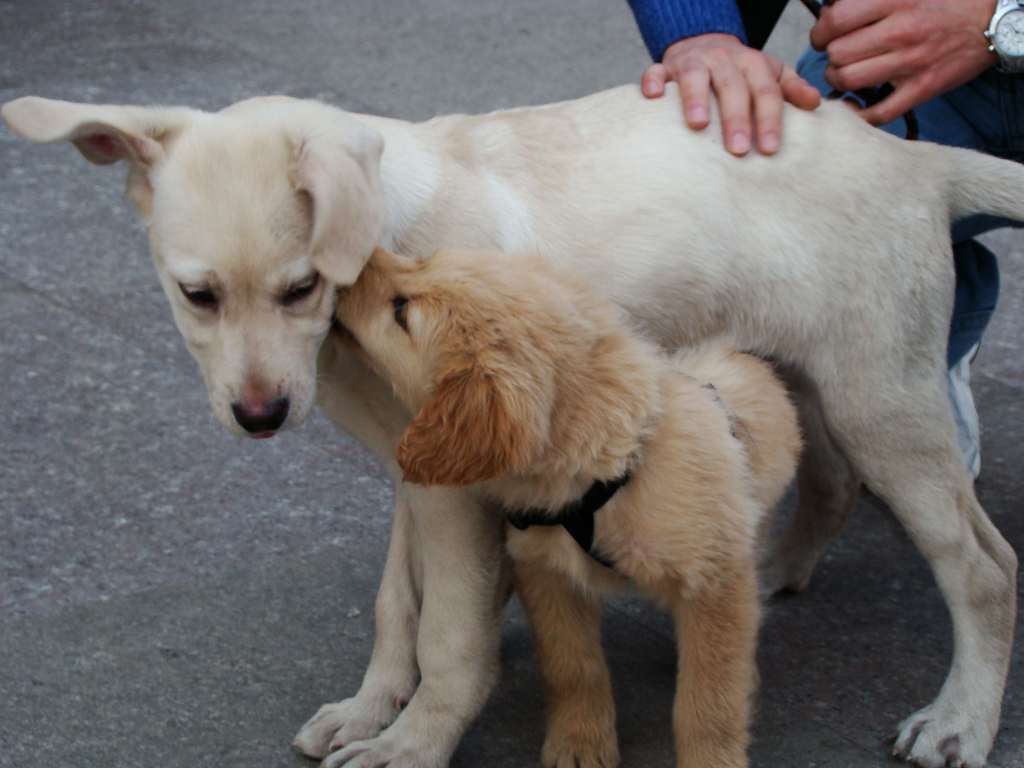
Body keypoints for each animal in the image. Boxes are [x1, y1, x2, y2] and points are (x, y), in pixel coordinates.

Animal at [335, 247, 798, 768]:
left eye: (401, 311)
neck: (609, 470)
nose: (356, 260)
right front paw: (580, 741)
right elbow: (572, 665)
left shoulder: (714, 578)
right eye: (424, 259)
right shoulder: (548, 573)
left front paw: (710, 759)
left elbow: (708, 702)